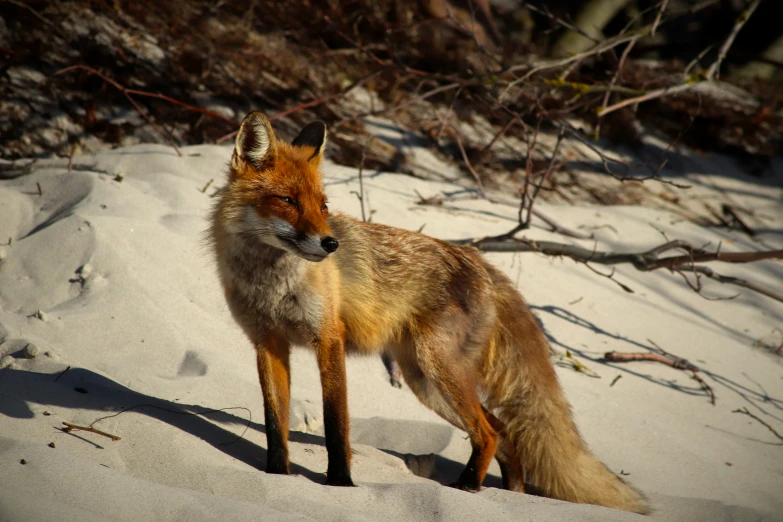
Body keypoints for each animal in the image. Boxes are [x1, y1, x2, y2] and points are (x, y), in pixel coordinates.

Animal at [207, 110, 648, 512]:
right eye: (287, 201)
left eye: (323, 205)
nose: (332, 245)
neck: (272, 286)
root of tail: (480, 262)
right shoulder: (268, 342)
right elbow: (274, 423)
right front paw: (278, 477)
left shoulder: (329, 339)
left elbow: (336, 424)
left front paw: (340, 484)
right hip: (426, 382)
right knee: (503, 430)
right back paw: (511, 495)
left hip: (438, 370)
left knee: (489, 432)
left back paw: (469, 488)